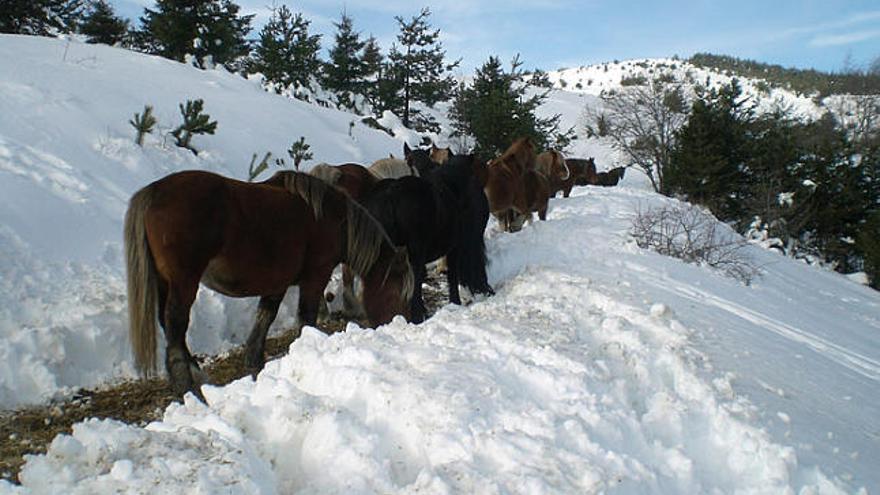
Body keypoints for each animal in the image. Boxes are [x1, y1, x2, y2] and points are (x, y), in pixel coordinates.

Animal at [125, 170, 414, 404]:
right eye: (398, 292)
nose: (404, 321)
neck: (332, 219)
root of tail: (154, 191)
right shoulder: (315, 278)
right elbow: (306, 318)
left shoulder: (277, 283)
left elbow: (265, 317)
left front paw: (255, 363)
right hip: (183, 282)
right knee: (175, 327)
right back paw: (188, 389)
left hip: (165, 282)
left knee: (169, 326)